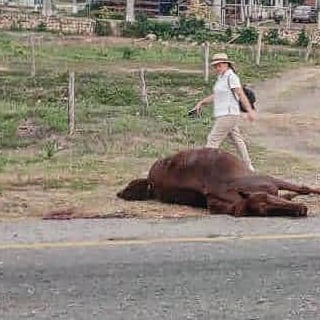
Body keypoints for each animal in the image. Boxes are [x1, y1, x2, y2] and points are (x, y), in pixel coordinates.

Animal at [117, 148, 320, 218]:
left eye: (266, 198)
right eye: (261, 209)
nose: (302, 209)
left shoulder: (271, 183)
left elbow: (303, 188)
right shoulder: (270, 181)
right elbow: (301, 189)